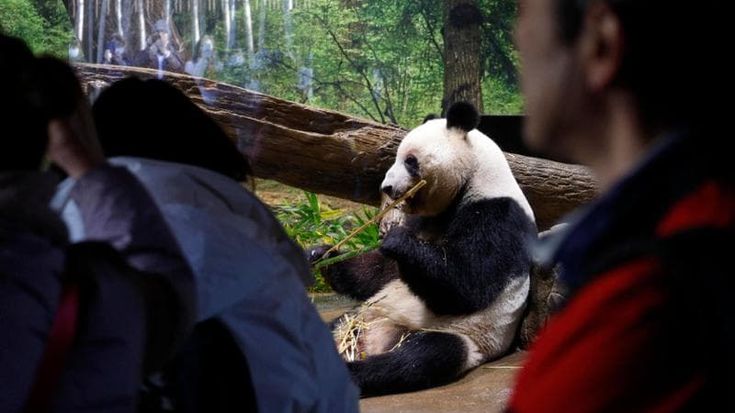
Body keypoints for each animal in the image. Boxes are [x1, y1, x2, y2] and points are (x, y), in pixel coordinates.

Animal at [311, 102, 536, 396]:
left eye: (410, 161)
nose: (387, 187)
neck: (475, 177)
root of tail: (375, 339)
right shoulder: (422, 222)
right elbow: (380, 272)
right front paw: (322, 255)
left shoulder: (499, 215)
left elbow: (468, 284)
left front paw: (396, 239)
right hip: (361, 314)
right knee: (333, 326)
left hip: (461, 336)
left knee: (416, 359)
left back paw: (350, 373)